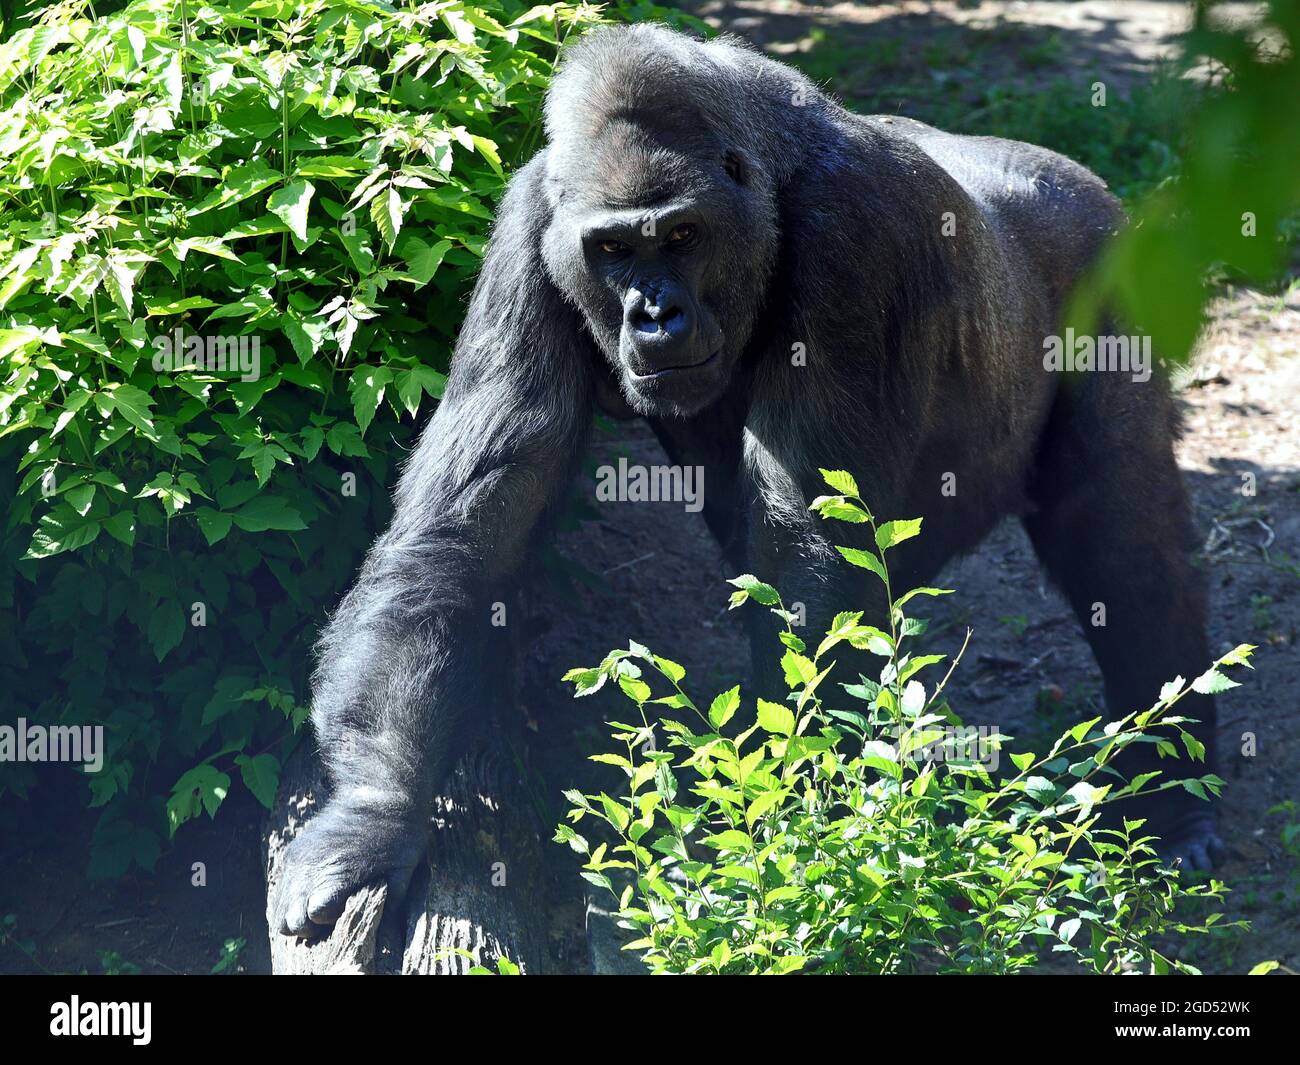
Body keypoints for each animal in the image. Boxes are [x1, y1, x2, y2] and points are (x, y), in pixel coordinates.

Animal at [269, 27, 1222, 941]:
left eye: (682, 237)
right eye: (612, 249)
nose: (656, 314)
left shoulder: (854, 234)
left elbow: (811, 549)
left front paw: (792, 838)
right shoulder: (527, 228)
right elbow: (467, 528)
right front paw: (370, 816)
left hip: (1110, 260)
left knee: (1122, 541)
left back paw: (1174, 787)